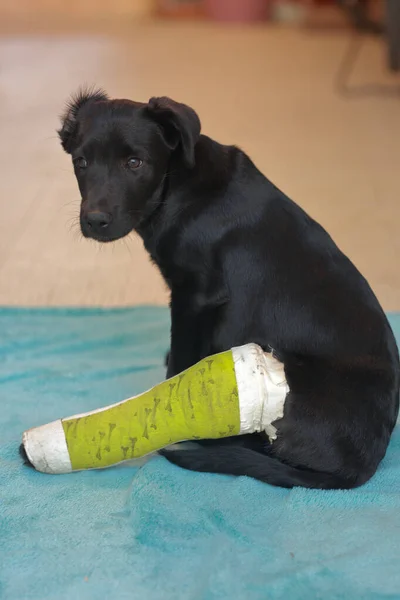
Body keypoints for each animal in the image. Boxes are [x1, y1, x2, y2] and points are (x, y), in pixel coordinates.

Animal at [58, 89, 400, 490]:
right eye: (81, 162)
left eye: (134, 162)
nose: (94, 221)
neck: (178, 187)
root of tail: (362, 466)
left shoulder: (194, 298)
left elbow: (179, 362)